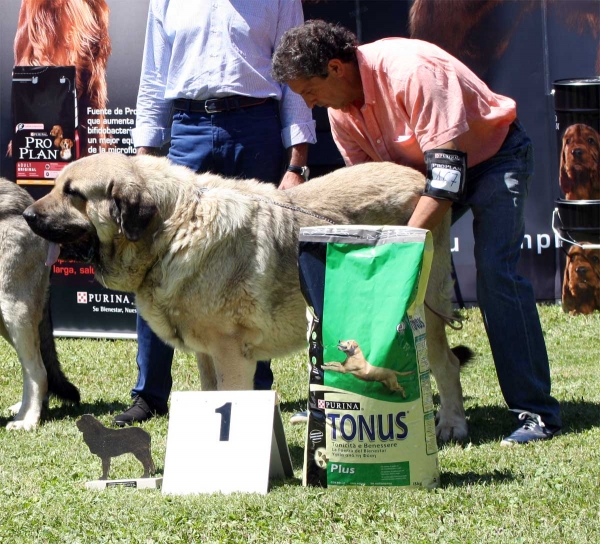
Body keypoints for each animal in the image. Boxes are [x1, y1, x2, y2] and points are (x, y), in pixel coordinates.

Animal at [25, 154, 468, 442]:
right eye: (57, 185)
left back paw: (451, 425)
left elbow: (230, 398)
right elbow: (210, 395)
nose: (27, 215)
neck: (174, 228)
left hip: (423, 311)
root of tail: (422, 181)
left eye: (73, 193)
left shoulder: (229, 351)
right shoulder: (206, 352)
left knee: (446, 365)